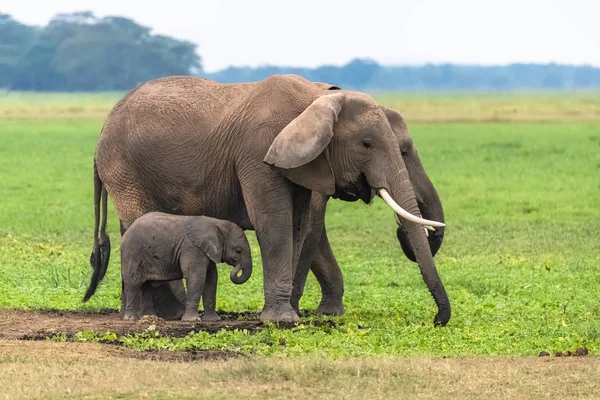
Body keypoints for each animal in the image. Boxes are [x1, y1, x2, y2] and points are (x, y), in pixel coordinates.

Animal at [120, 212, 252, 322]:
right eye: (238, 251)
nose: (237, 267)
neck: (216, 223)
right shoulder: (192, 248)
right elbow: (196, 277)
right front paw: (192, 320)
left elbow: (211, 278)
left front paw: (213, 320)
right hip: (133, 253)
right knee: (134, 283)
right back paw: (131, 319)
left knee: (146, 286)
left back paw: (150, 317)